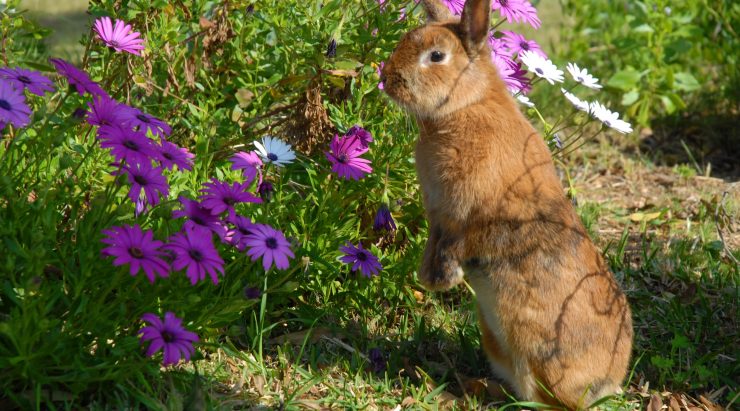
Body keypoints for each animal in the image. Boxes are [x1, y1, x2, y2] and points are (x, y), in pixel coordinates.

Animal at [384, 0, 632, 408]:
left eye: (436, 56)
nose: (387, 79)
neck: (467, 103)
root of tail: (608, 381)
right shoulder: (439, 218)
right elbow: (436, 243)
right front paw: (430, 278)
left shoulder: (466, 214)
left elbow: (460, 243)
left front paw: (442, 280)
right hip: (496, 341)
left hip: (531, 348)